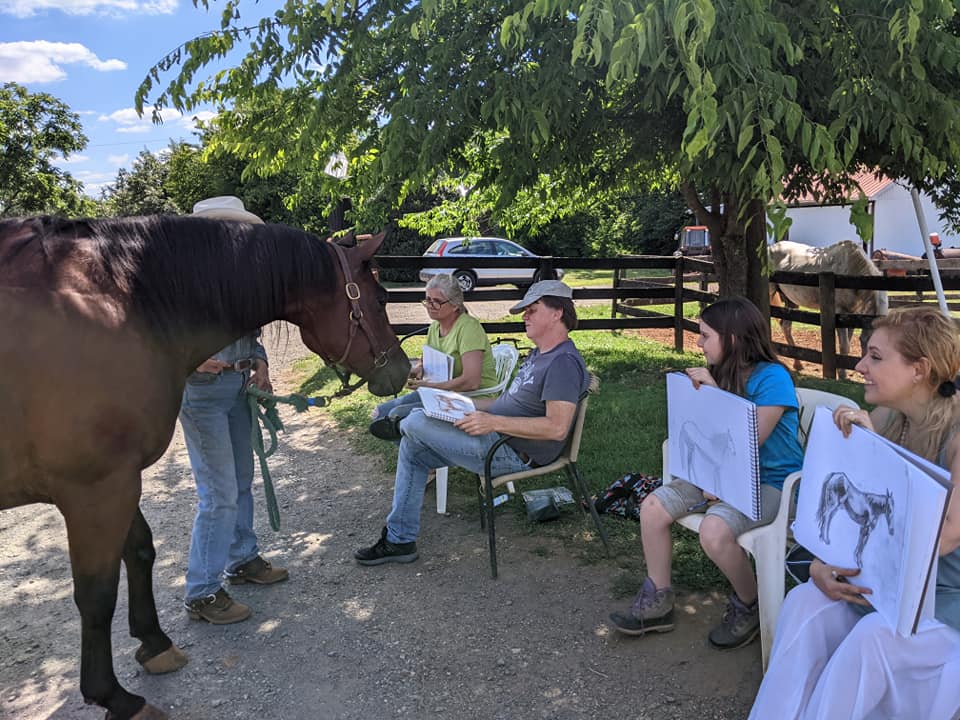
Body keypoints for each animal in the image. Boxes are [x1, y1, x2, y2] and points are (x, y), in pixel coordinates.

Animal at [0, 215, 408, 720]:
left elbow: (140, 552)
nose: (402, 370)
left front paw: (154, 644)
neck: (122, 306)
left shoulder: (120, 480)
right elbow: (96, 596)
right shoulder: (94, 490)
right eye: (380, 299)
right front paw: (115, 696)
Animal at [768, 239, 888, 380]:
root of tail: (771, 247)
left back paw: (798, 364)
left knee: (786, 326)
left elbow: (846, 344)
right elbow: (844, 346)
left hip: (791, 302)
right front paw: (842, 375)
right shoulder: (840, 311)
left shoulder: (851, 314)